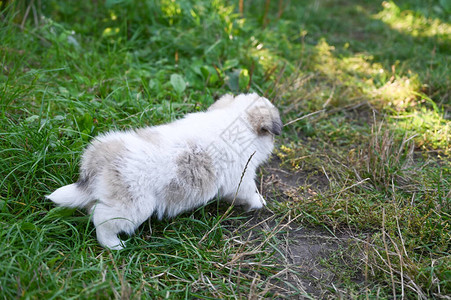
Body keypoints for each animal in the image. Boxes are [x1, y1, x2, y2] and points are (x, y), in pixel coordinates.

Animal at [48, 93, 282, 248]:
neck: (237, 121)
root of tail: (100, 159)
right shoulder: (241, 179)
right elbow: (250, 192)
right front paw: (260, 202)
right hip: (133, 208)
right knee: (102, 220)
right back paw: (114, 245)